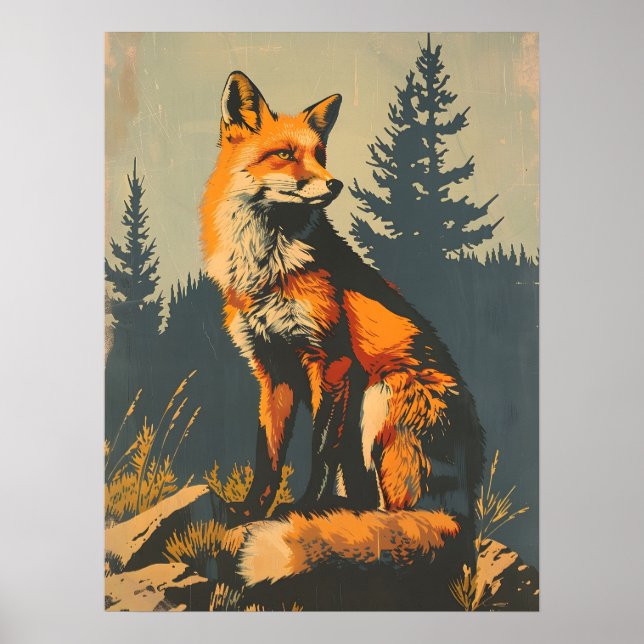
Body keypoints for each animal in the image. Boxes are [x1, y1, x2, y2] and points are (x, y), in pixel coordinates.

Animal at [200, 71, 485, 586]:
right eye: (285, 153)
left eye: (321, 155)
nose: (334, 184)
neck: (267, 266)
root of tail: (465, 512)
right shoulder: (273, 370)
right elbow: (268, 456)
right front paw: (251, 511)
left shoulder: (331, 361)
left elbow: (320, 450)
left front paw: (302, 510)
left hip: (381, 396)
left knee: (393, 518)